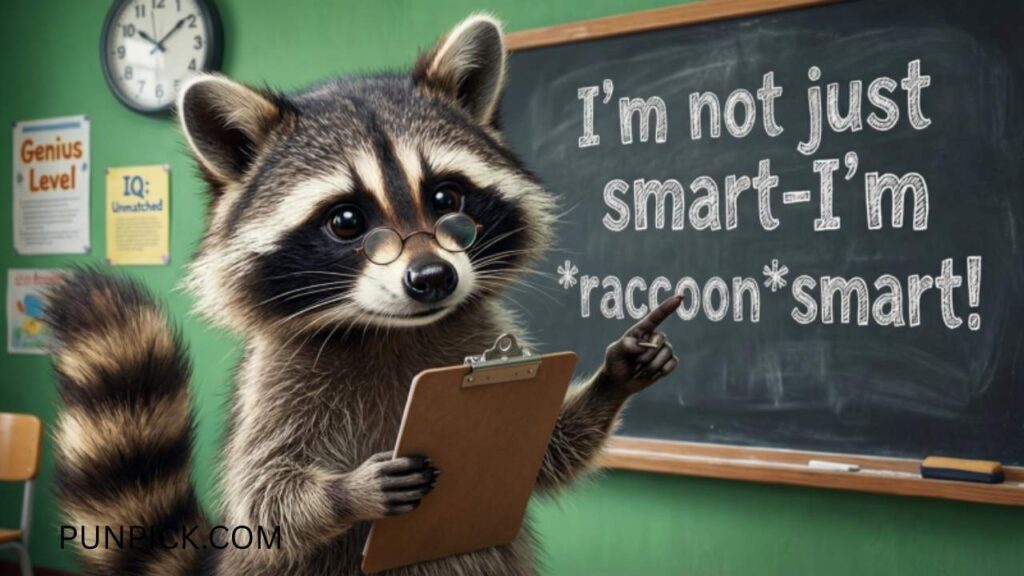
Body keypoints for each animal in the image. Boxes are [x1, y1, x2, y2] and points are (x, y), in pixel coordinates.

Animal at [47, 15, 680, 576]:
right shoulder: (275, 384)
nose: (433, 278)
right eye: (347, 220)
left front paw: (614, 375)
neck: (394, 328)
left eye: (447, 198)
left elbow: (545, 454)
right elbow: (263, 496)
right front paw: (345, 493)